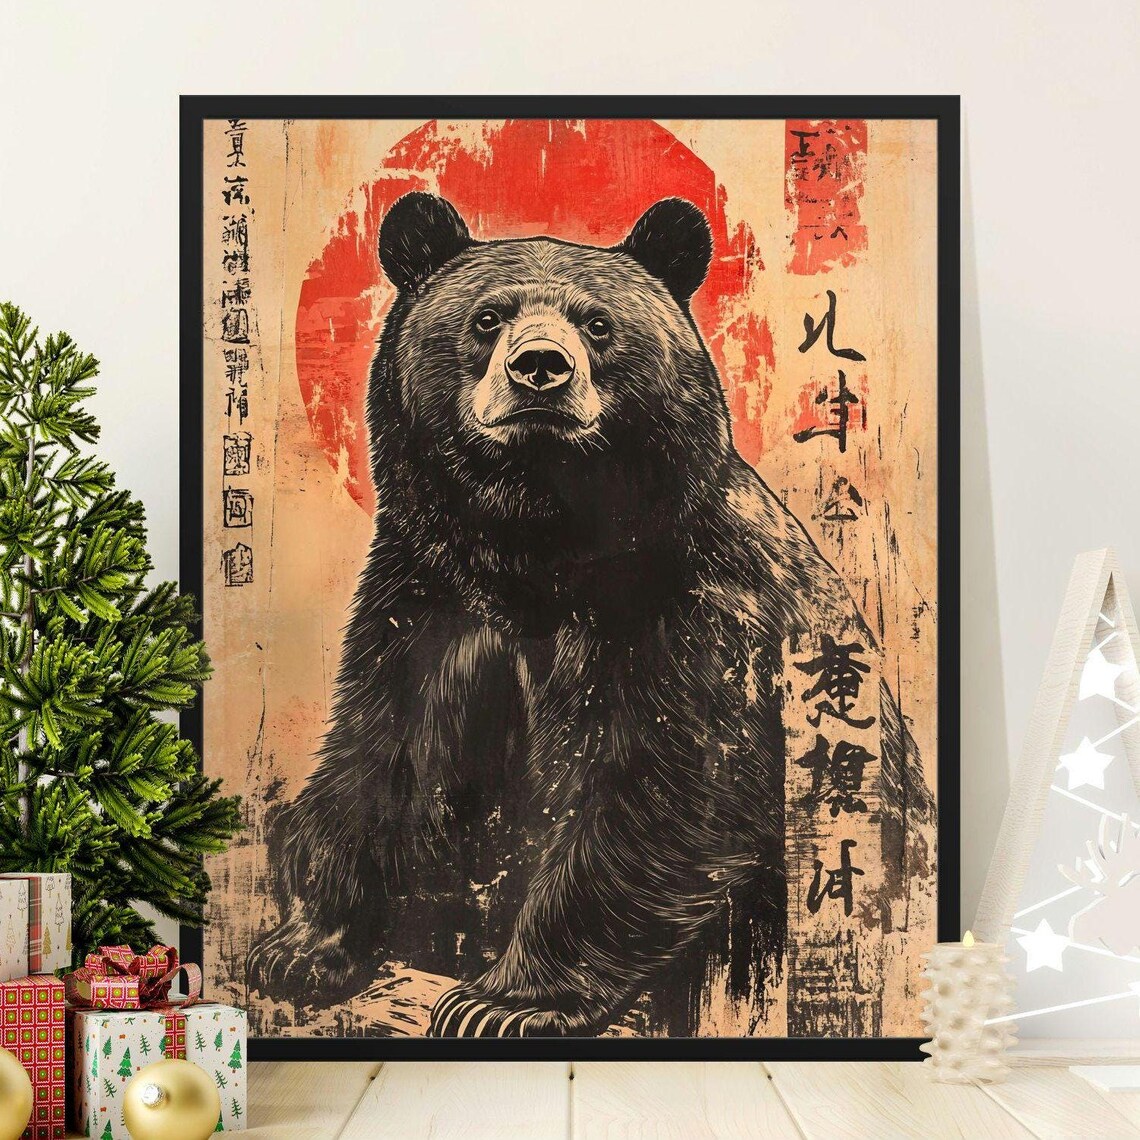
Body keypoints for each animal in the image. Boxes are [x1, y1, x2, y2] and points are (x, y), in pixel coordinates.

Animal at [247, 191, 932, 1037]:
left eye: (598, 323)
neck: (537, 548)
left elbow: (660, 787)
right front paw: (306, 946)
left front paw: (502, 1001)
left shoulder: (692, 609)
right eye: (487, 317)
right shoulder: (426, 597)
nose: (540, 367)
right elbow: (385, 746)